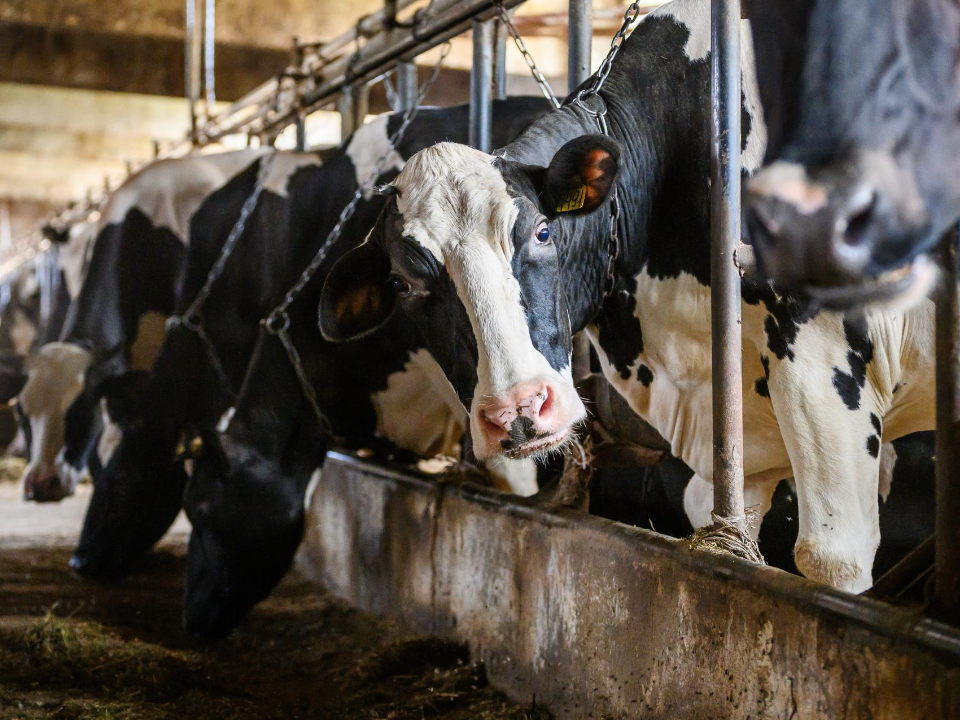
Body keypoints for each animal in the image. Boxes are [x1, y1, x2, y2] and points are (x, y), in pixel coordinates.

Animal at [320, 0, 936, 592]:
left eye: (542, 232)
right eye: (405, 284)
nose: (518, 411)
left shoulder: (821, 367)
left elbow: (833, 560)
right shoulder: (741, 433)